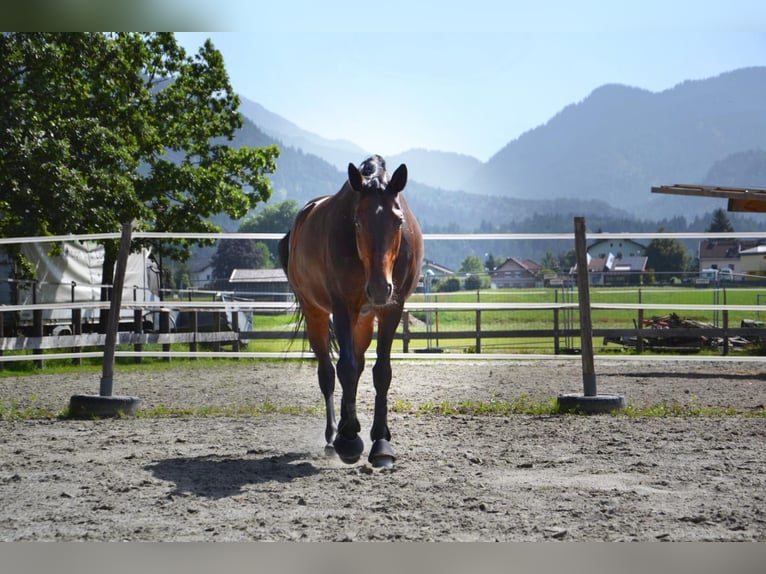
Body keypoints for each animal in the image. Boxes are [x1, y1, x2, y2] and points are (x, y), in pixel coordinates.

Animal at [280, 156, 426, 468]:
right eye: (357, 222)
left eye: (398, 221)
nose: (380, 288)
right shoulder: (342, 308)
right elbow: (344, 368)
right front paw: (348, 440)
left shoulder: (391, 310)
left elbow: (381, 371)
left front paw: (381, 442)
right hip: (316, 312)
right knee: (328, 373)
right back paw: (333, 435)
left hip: (365, 318)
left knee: (356, 367)